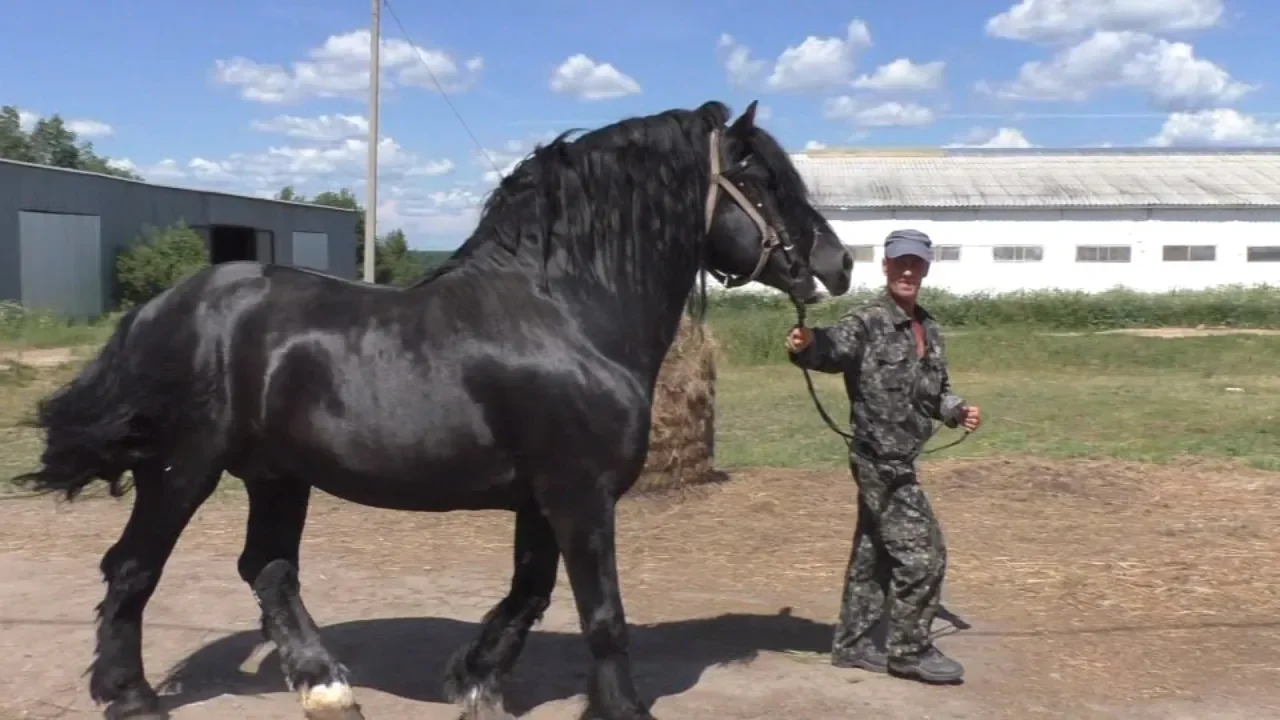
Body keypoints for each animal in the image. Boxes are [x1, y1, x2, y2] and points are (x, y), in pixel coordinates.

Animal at [12, 101, 849, 717]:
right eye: (760, 180)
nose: (837, 265)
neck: (566, 312)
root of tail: (163, 306)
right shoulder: (578, 494)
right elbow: (600, 612)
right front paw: (618, 707)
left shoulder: (542, 499)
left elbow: (530, 593)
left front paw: (475, 678)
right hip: (182, 470)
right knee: (132, 569)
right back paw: (129, 696)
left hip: (277, 475)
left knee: (268, 569)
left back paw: (326, 686)